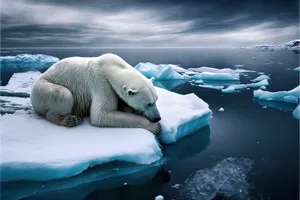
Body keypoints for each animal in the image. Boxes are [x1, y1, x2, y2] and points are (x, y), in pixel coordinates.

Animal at [30, 54, 162, 134]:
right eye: (148, 104)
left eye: (156, 100)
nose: (157, 118)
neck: (109, 66)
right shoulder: (101, 82)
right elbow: (101, 114)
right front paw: (154, 127)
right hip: (42, 89)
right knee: (62, 94)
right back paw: (68, 119)